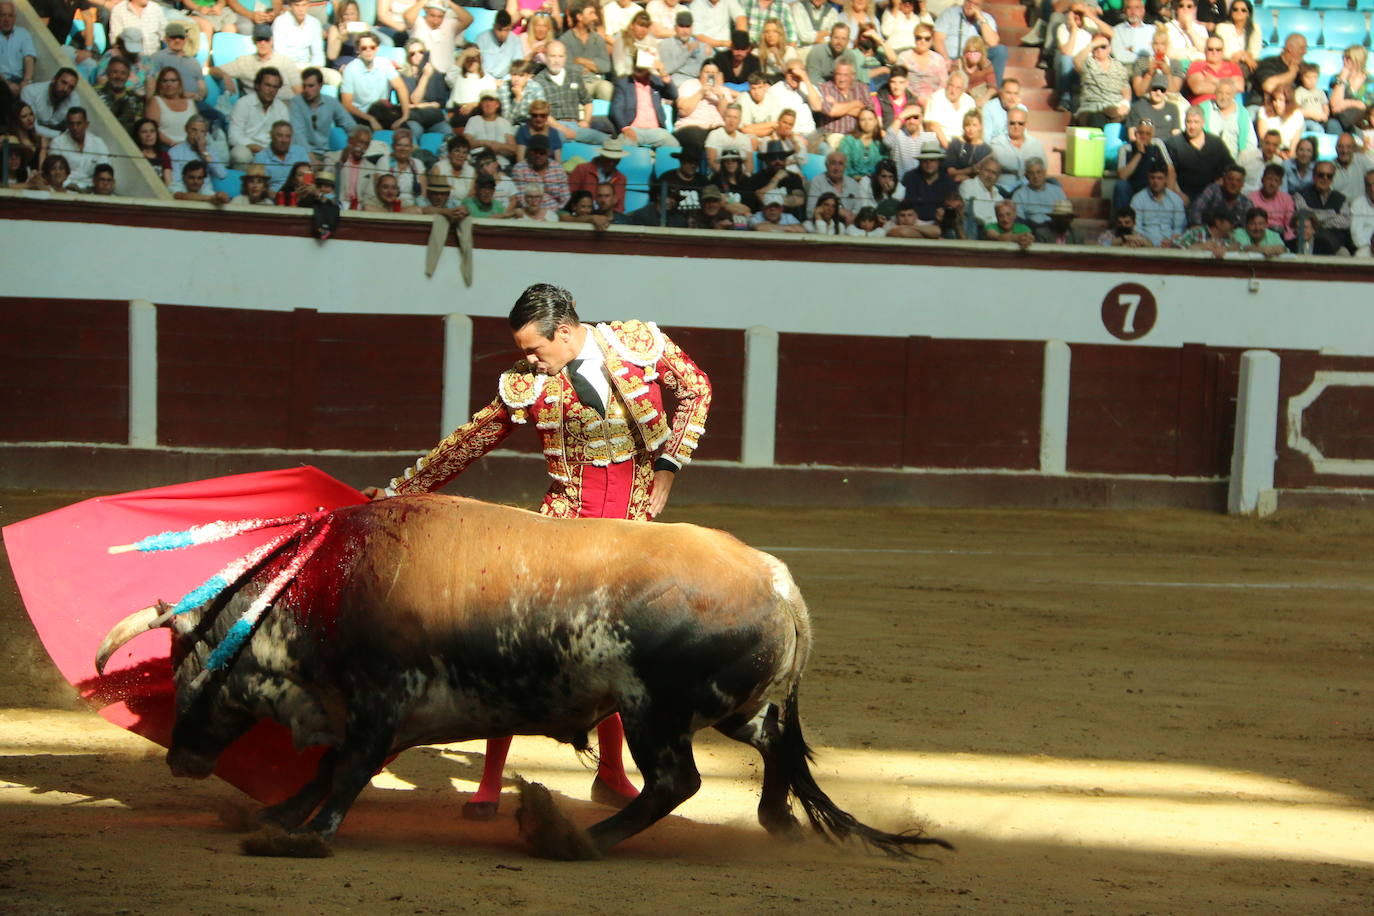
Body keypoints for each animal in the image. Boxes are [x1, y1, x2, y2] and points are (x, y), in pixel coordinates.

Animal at [99, 494, 956, 862]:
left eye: (184, 674)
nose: (179, 757)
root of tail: (778, 581)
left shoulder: (380, 702)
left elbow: (344, 774)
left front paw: (303, 838)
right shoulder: (381, 714)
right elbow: (327, 770)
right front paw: (274, 815)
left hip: (655, 710)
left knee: (675, 783)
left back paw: (575, 838)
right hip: (727, 706)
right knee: (775, 744)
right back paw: (775, 819)